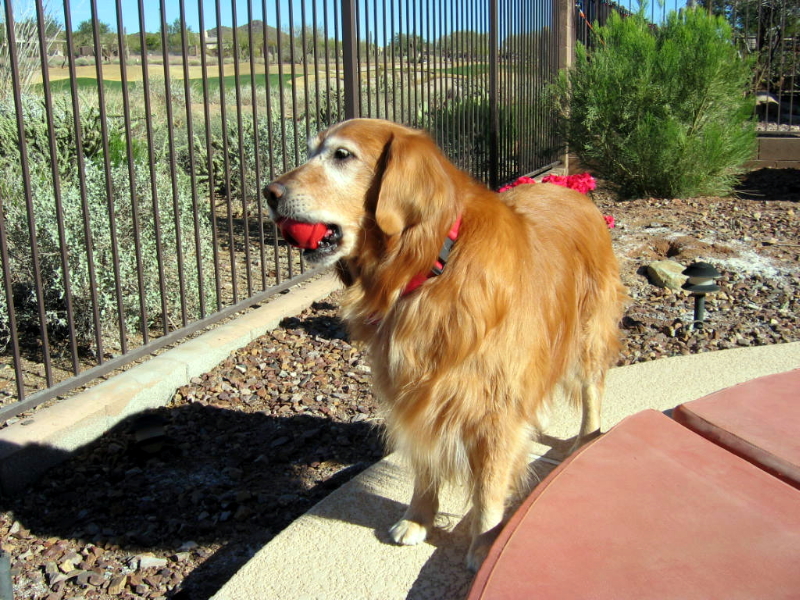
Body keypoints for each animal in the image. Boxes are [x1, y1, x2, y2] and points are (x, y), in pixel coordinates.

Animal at [265, 119, 626, 569]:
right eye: (312, 151)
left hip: (587, 332)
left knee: (592, 388)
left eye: (342, 155)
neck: (430, 267)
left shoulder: (495, 408)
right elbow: (426, 461)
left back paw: (587, 441)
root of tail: (571, 190)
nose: (269, 192)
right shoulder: (416, 390)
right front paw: (418, 518)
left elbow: (488, 488)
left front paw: (485, 546)